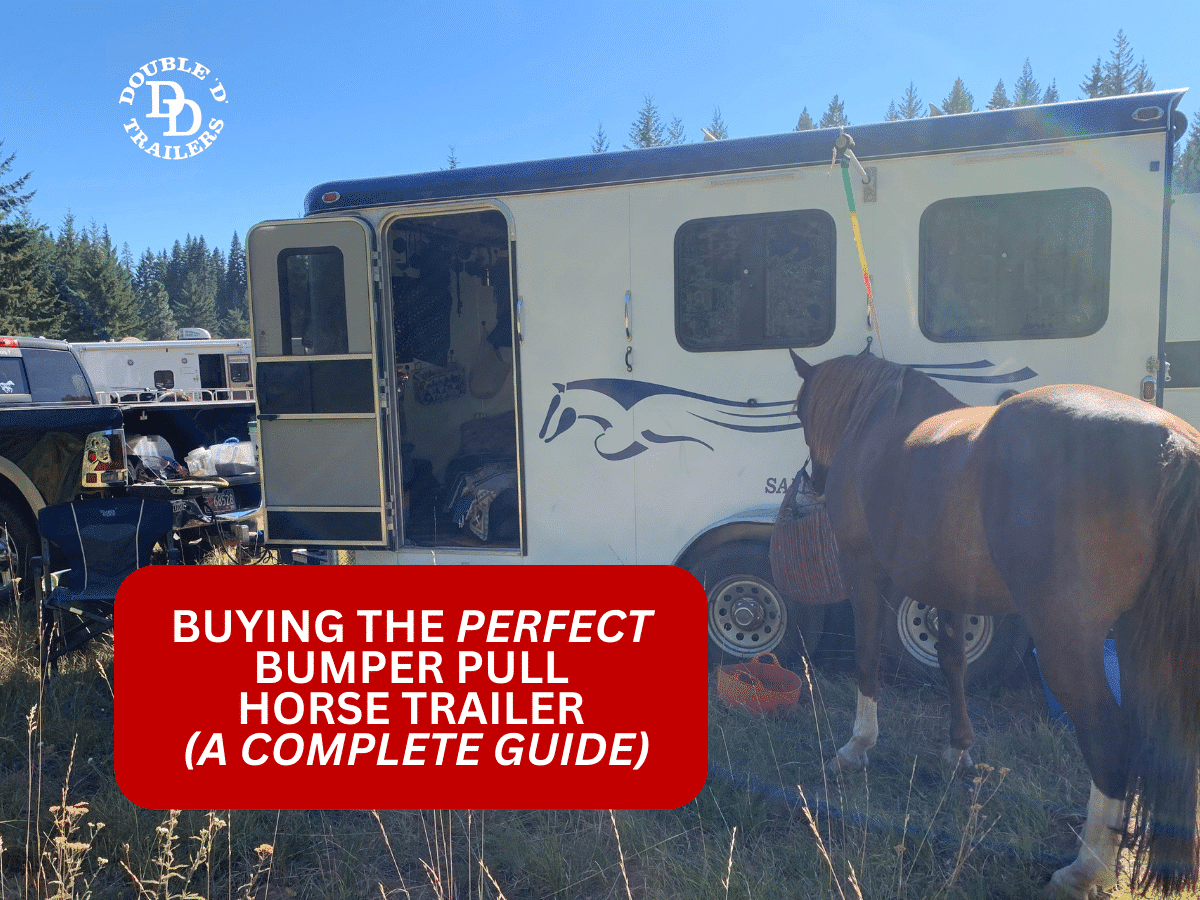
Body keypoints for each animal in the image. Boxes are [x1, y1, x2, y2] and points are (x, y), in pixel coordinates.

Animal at [788, 350, 1200, 899]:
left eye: (798, 412)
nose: (813, 482)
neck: (877, 420)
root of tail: (1169, 443)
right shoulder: (949, 588)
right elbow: (952, 662)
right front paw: (958, 752)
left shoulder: (862, 568)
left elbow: (868, 658)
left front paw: (856, 747)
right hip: (1138, 638)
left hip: (1067, 639)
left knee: (1109, 737)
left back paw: (1085, 870)